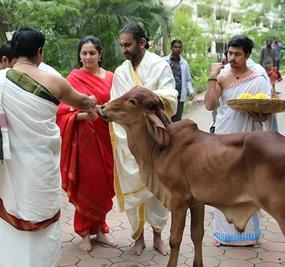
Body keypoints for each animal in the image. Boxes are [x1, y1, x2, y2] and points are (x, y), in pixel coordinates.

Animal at [99, 88, 284, 267]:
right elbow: (197, 235)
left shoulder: (178, 201)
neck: (159, 148)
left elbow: (175, 239)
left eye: (132, 101)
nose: (103, 107)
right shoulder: (198, 202)